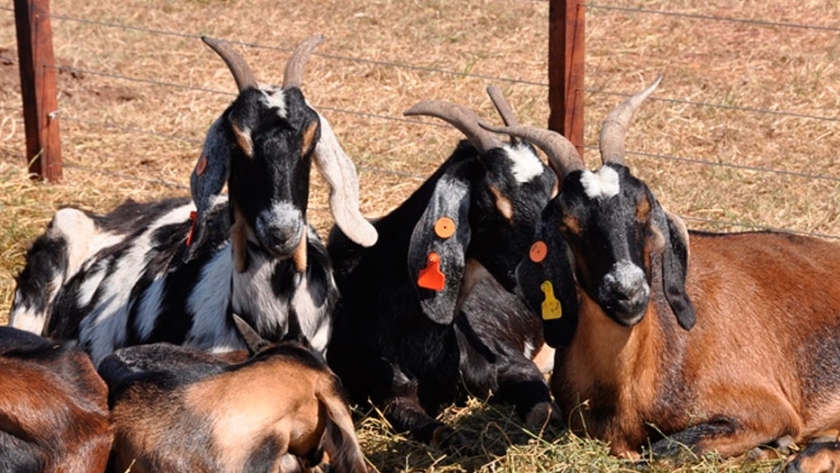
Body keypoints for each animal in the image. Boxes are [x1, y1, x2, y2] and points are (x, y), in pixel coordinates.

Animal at [326, 88, 559, 450]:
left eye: (552, 188)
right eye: (490, 200)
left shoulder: (514, 363)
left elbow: (540, 413)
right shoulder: (387, 394)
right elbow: (442, 433)